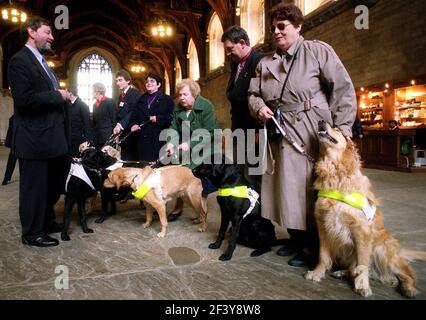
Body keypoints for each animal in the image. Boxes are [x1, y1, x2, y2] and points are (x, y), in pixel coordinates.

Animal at [306, 120, 426, 298]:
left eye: (337, 128)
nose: (321, 121)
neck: (336, 173)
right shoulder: (322, 224)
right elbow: (323, 255)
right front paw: (317, 272)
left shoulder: (361, 229)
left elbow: (363, 263)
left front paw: (362, 285)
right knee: (355, 268)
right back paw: (342, 272)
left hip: (383, 251)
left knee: (405, 272)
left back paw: (409, 287)